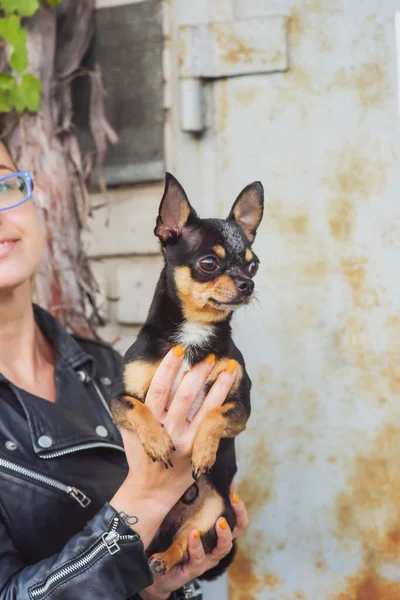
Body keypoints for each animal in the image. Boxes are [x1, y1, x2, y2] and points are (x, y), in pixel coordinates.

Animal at [111, 175, 264, 580]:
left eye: (254, 265)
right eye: (209, 263)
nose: (247, 284)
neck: (194, 333)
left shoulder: (240, 406)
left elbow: (213, 414)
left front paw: (203, 451)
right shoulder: (119, 397)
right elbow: (136, 408)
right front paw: (157, 442)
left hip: (214, 513)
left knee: (183, 543)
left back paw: (163, 560)